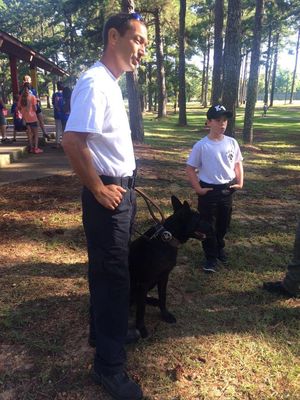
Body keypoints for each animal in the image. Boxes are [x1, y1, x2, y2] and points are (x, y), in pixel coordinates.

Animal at [129, 195, 211, 340]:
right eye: (199, 219)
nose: (212, 225)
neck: (167, 239)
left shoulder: (163, 277)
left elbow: (163, 298)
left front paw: (165, 315)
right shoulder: (143, 283)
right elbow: (141, 310)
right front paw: (141, 328)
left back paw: (152, 300)